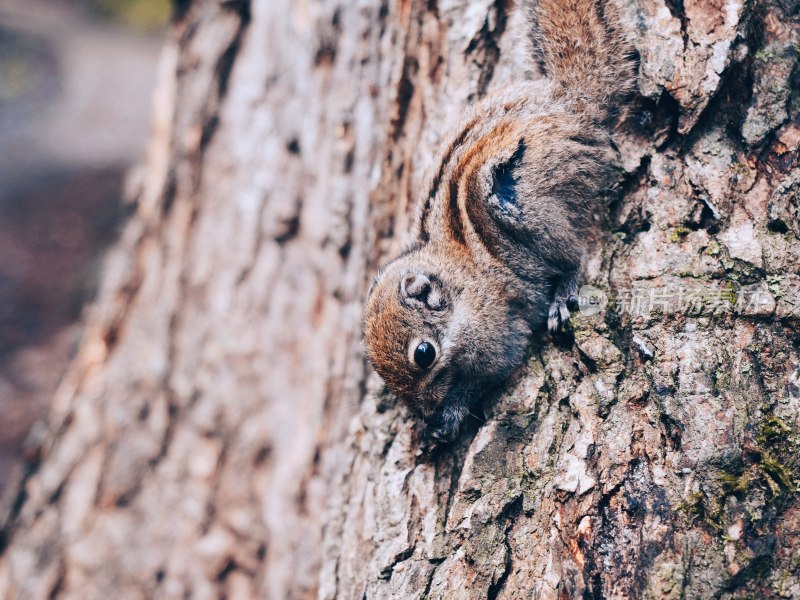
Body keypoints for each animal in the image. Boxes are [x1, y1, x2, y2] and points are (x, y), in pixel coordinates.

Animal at [366, 0, 636, 440]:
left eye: (424, 353)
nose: (424, 411)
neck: (458, 283)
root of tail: (571, 102)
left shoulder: (493, 328)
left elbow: (492, 370)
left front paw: (449, 416)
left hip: (525, 203)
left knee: (573, 256)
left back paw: (563, 293)